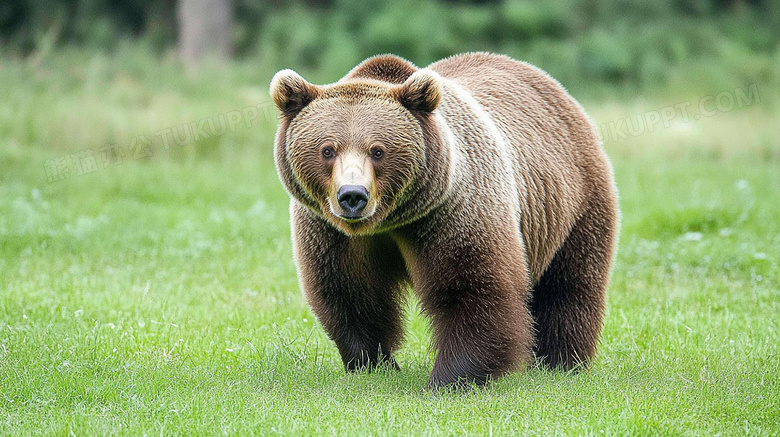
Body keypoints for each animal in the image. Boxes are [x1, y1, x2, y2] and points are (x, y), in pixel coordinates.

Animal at [272, 52, 620, 386]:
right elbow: (350, 292)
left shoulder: (452, 211)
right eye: (327, 149)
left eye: (378, 150)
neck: (390, 220)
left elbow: (472, 288)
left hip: (573, 201)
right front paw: (373, 363)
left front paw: (449, 378)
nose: (353, 196)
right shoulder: (330, 231)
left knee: (568, 285)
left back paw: (559, 362)